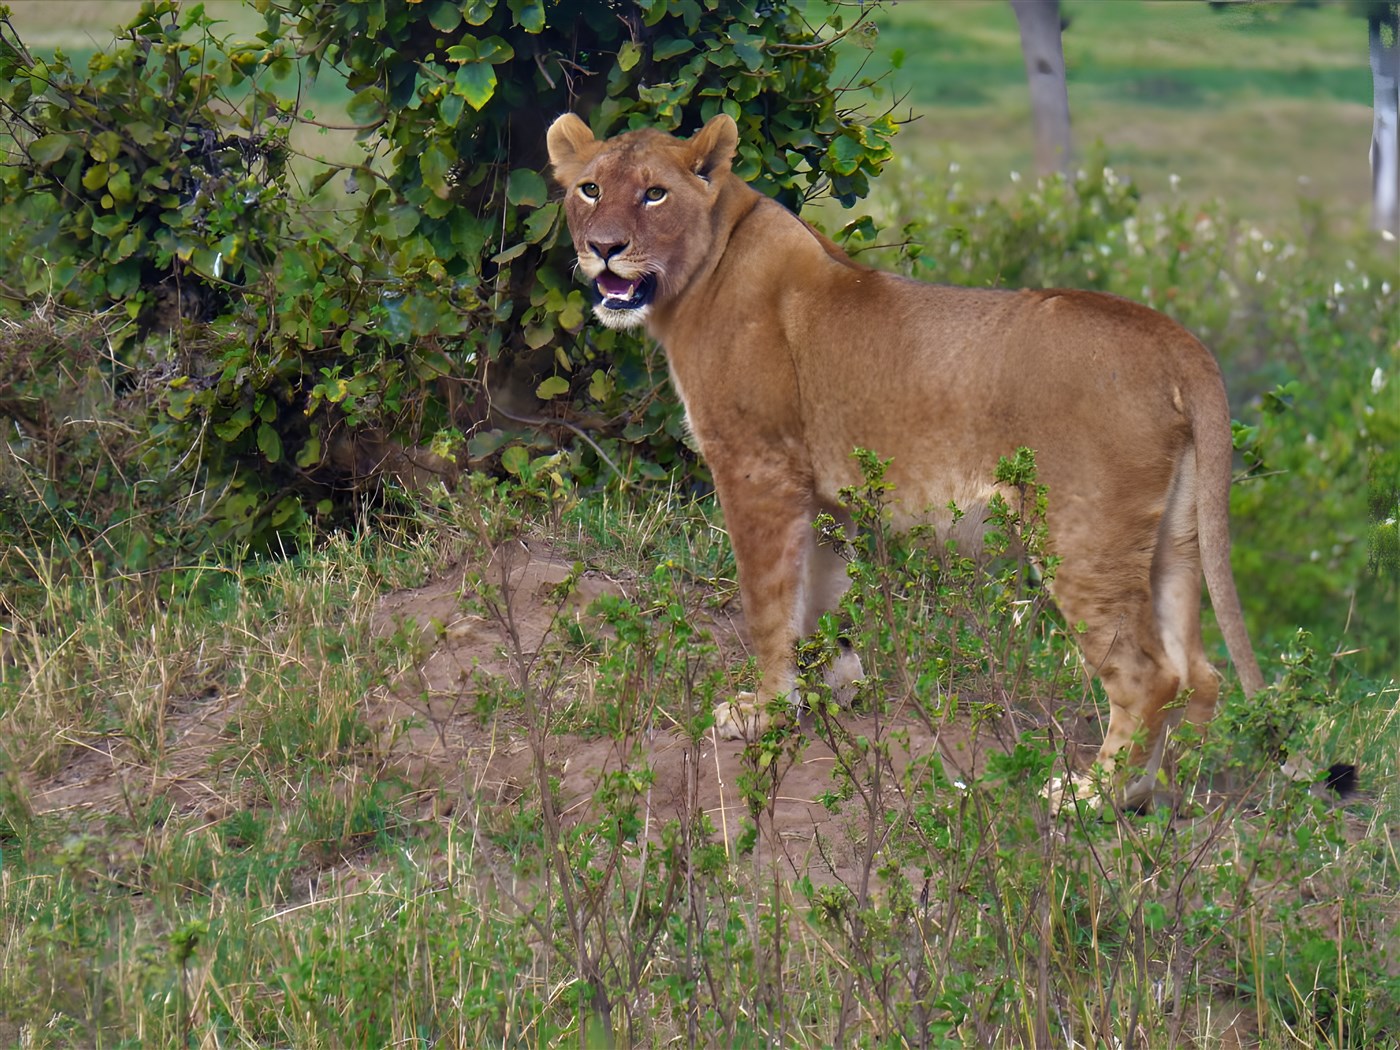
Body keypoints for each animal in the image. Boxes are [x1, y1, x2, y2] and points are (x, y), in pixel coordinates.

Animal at [546, 112, 1264, 808]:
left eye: (654, 193)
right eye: (590, 189)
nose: (604, 247)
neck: (703, 269)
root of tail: (1175, 340)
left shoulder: (758, 467)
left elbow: (768, 602)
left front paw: (766, 712)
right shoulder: (822, 492)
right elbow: (823, 596)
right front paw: (832, 689)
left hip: (1081, 532)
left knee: (1150, 675)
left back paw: (1094, 796)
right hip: (1173, 535)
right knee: (1199, 674)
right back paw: (1155, 794)